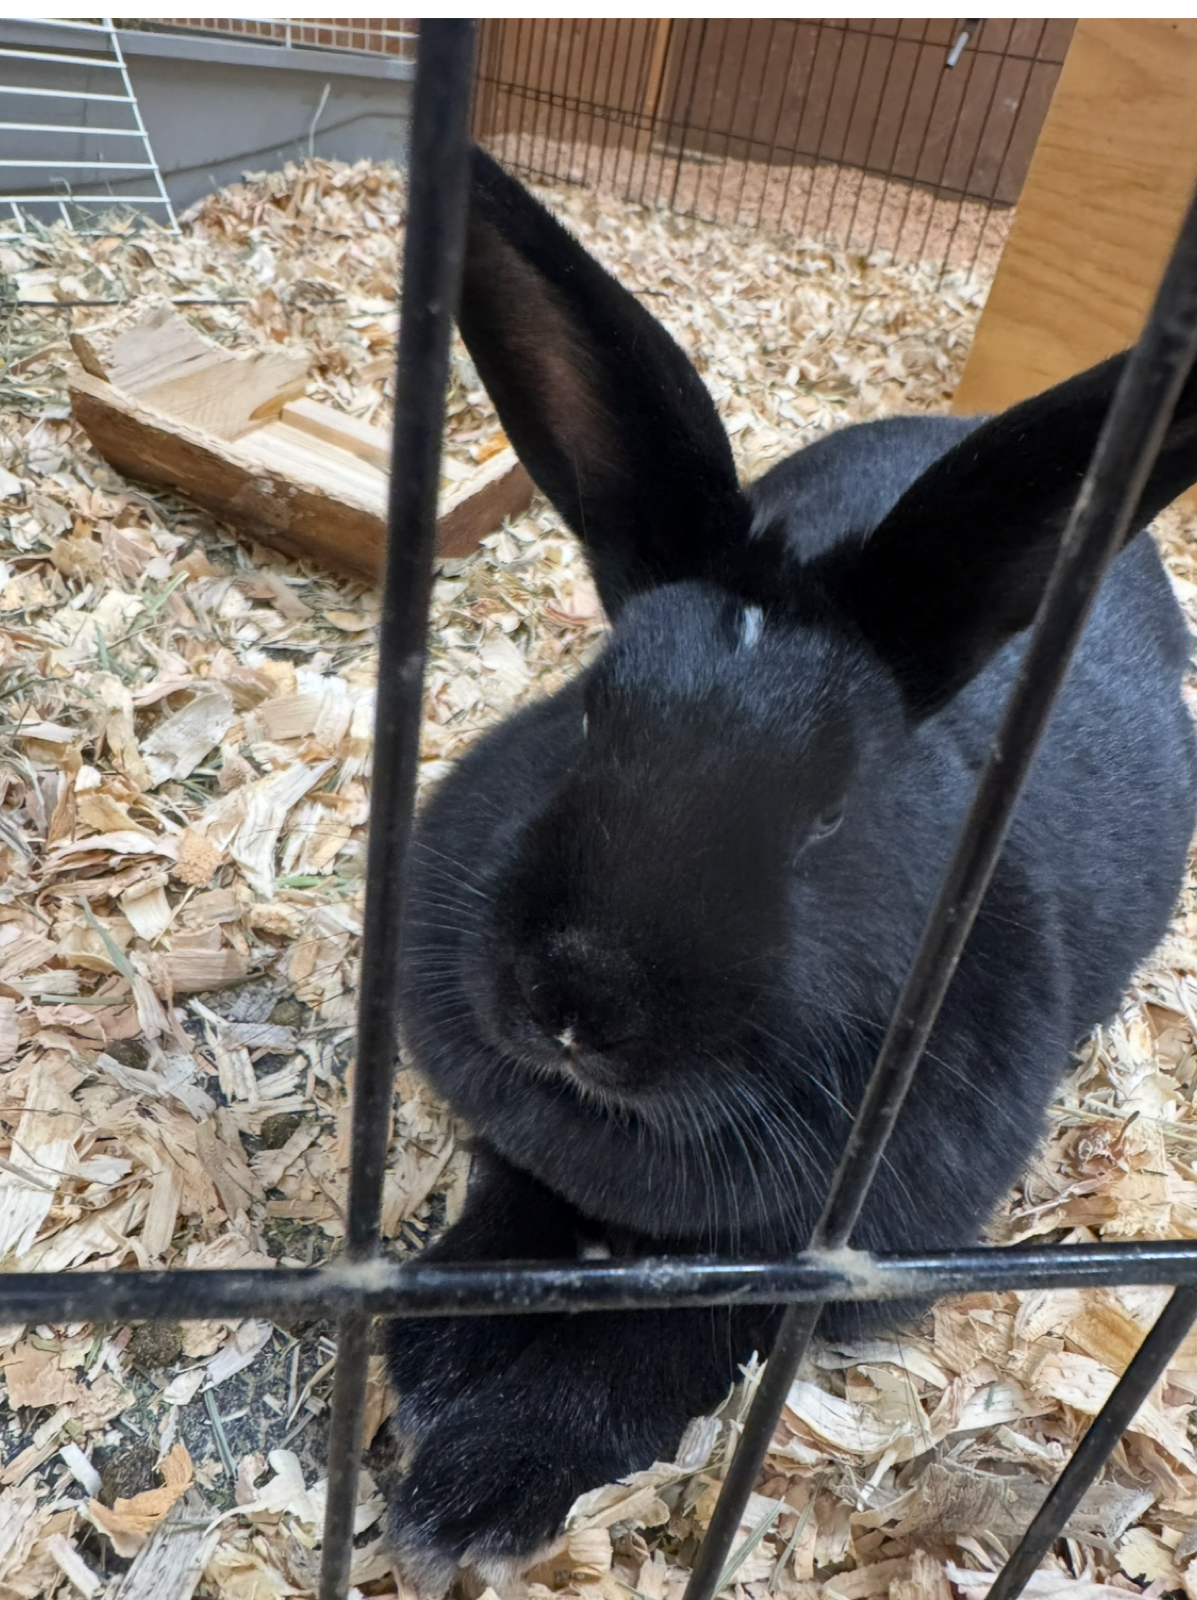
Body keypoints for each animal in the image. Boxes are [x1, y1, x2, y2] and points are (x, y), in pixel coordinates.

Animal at [383, 146, 1197, 1590]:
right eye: (587, 714)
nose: (572, 998)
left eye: (827, 814)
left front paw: (477, 1488)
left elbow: (653, 1348)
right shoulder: (520, 1141)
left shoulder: (815, 1264)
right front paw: (429, 1340)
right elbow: (511, 1195)